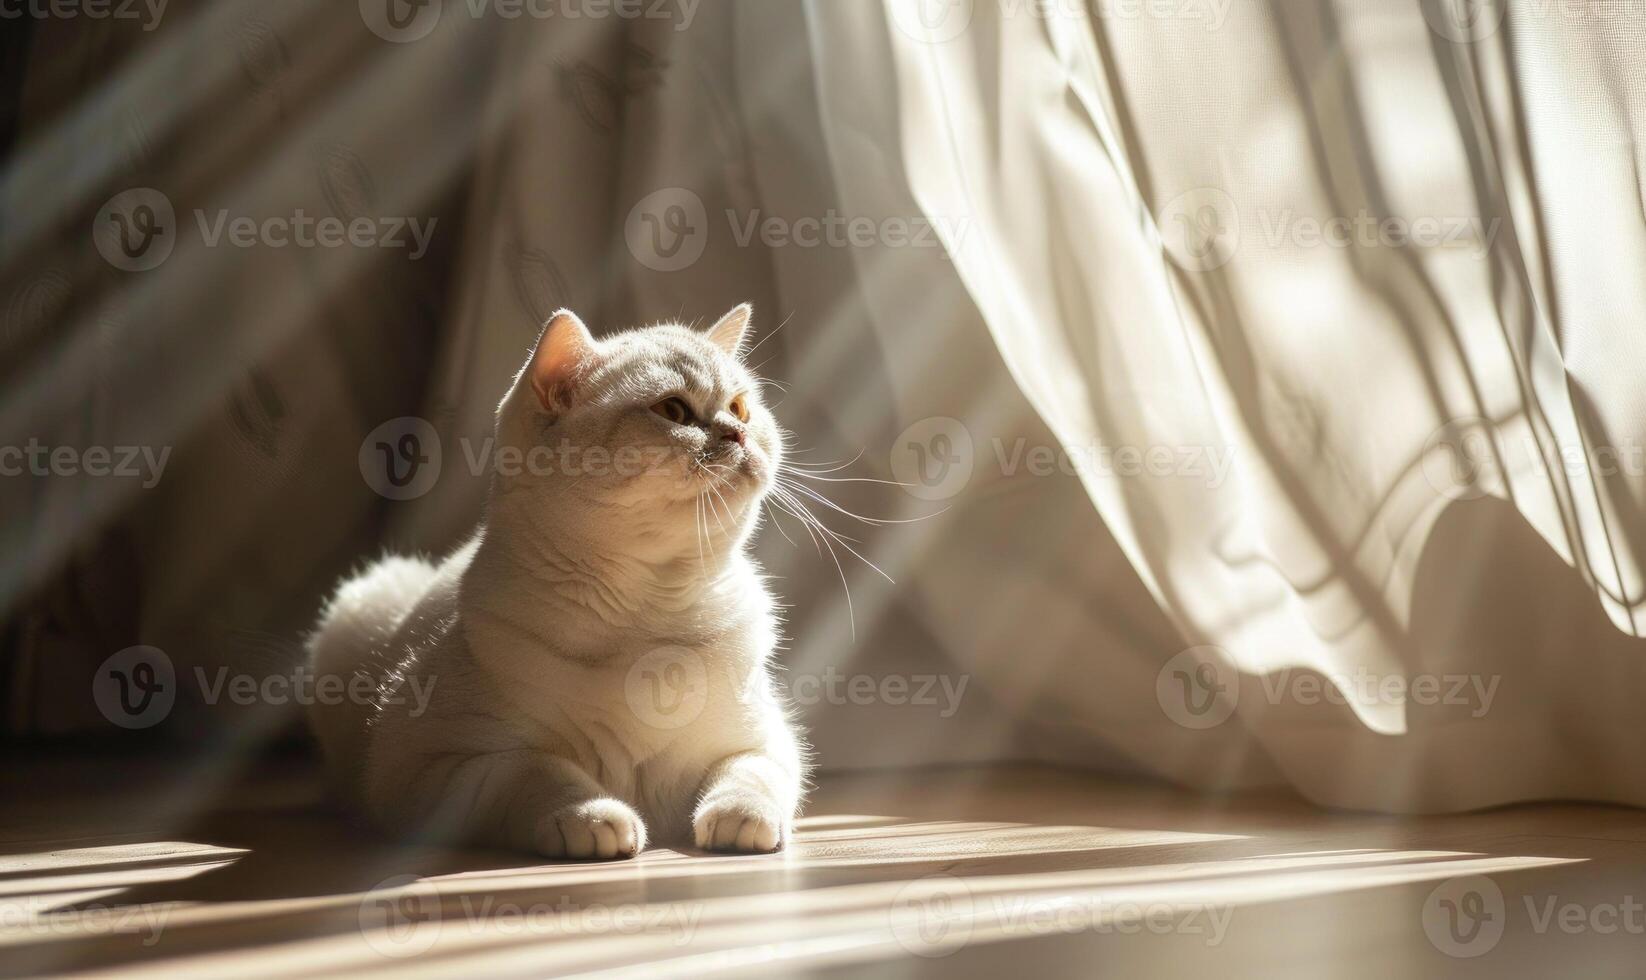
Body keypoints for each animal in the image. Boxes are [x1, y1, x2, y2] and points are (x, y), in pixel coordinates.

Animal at [306, 306, 806, 856]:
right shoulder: (432, 767)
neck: (652, 608)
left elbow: (748, 776)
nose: (737, 433)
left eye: (740, 408)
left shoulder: (766, 742)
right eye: (673, 410)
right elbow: (538, 769)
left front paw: (743, 821)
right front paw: (592, 817)